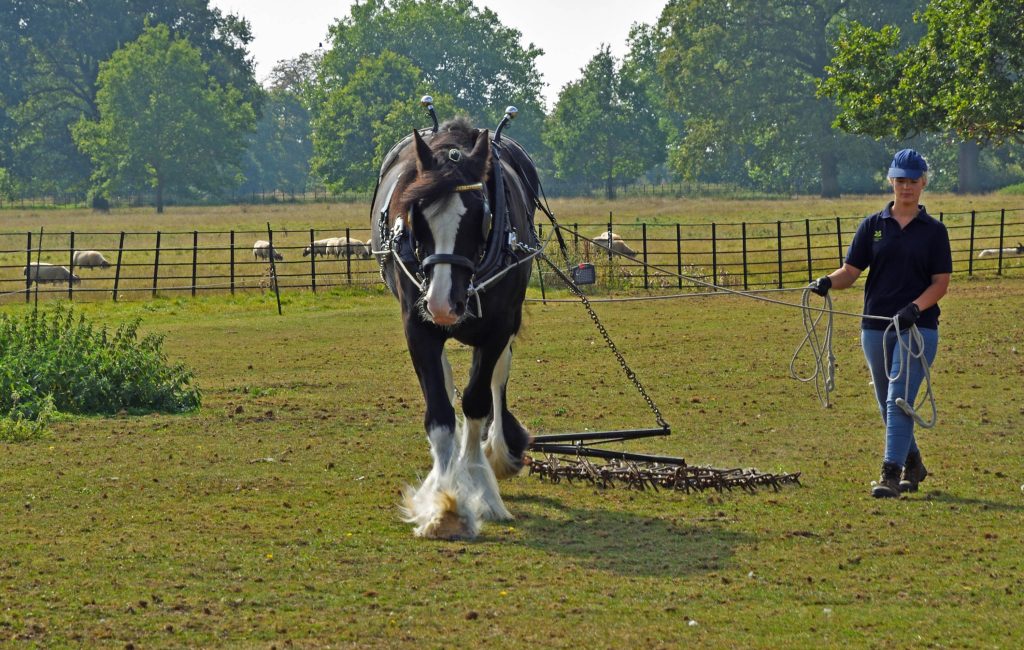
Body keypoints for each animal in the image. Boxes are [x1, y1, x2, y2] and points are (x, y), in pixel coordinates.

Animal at [372, 117, 540, 540]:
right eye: (417, 214)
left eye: (481, 214)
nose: (443, 303)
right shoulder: (418, 327)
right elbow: (441, 413)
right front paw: (444, 504)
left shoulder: (499, 328)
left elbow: (477, 401)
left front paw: (478, 487)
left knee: (496, 381)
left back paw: (497, 452)